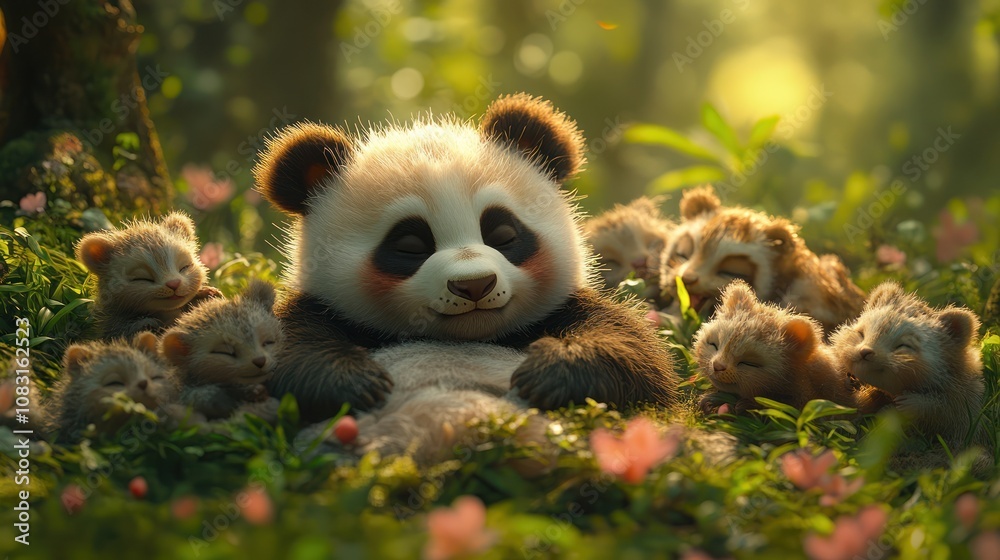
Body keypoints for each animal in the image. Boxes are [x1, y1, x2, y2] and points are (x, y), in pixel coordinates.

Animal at [254, 94, 679, 433]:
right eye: (410, 245)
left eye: (503, 234)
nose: (474, 284)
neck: (471, 335)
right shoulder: (322, 312)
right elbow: (282, 351)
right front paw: (354, 382)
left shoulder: (565, 309)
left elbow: (636, 354)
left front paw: (550, 373)